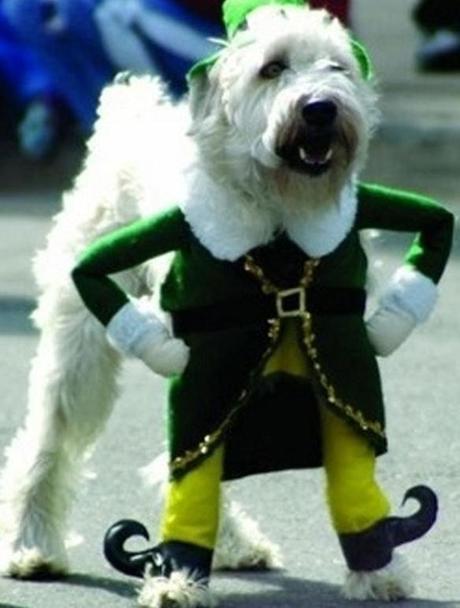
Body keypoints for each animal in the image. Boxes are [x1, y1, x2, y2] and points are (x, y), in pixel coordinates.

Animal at [1, 2, 452, 604]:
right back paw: (30, 546)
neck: (277, 216)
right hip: (81, 345)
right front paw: (177, 579)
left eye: (337, 67)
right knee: (48, 440)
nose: (321, 108)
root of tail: (130, 111)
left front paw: (377, 572)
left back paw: (235, 543)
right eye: (272, 68)